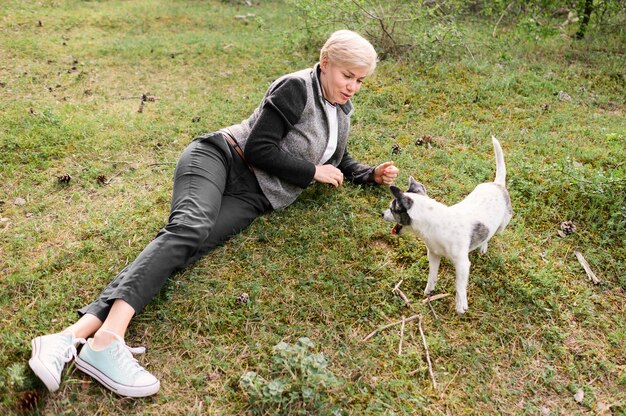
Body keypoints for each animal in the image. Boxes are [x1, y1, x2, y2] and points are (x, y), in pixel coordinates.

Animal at [382, 135, 510, 314]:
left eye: (391, 209)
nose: (381, 214)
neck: (434, 226)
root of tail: (497, 184)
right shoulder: (434, 255)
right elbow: (432, 275)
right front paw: (429, 290)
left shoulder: (462, 264)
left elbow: (459, 286)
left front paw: (460, 304)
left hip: (502, 226)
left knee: (491, 234)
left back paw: (483, 246)